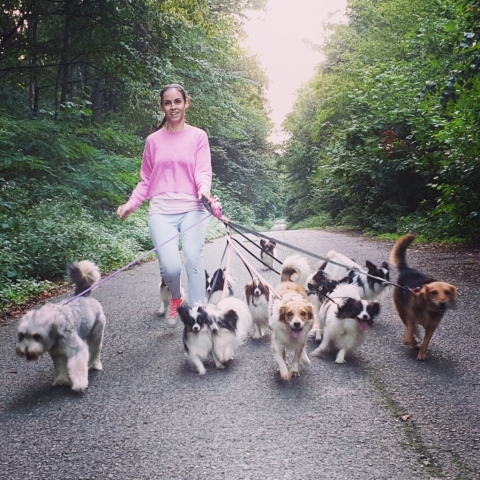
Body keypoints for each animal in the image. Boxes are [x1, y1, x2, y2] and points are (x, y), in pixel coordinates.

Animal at [16, 261, 106, 391]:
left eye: (37, 336)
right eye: (22, 335)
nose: (25, 351)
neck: (57, 332)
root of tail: (82, 296)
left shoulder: (77, 350)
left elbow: (78, 366)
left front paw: (79, 383)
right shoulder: (57, 354)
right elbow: (60, 367)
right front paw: (61, 380)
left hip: (96, 334)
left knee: (95, 350)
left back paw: (94, 364)